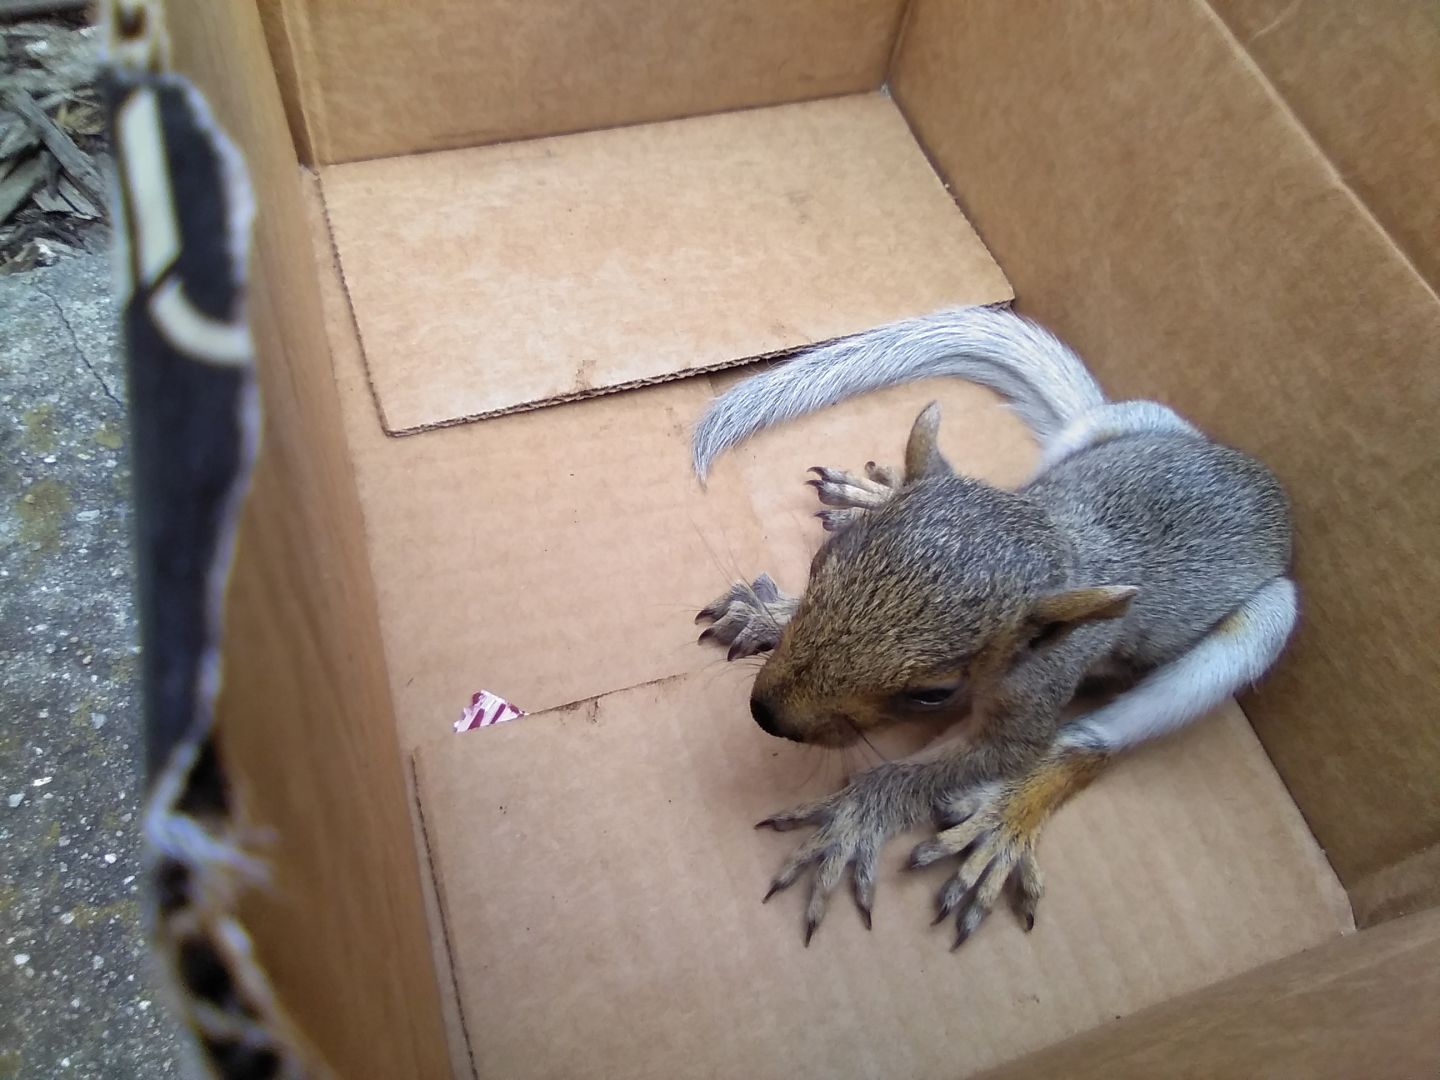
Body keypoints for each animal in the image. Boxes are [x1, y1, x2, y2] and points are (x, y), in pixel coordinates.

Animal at [688, 308, 1296, 950]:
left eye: (933, 694)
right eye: (818, 565)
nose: (766, 713)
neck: (1060, 543)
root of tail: (1261, 481)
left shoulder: (1040, 688)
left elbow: (985, 755)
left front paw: (855, 815)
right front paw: (770, 613)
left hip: (1262, 626)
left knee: (1093, 741)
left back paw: (1008, 814)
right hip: (1113, 427)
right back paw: (877, 491)